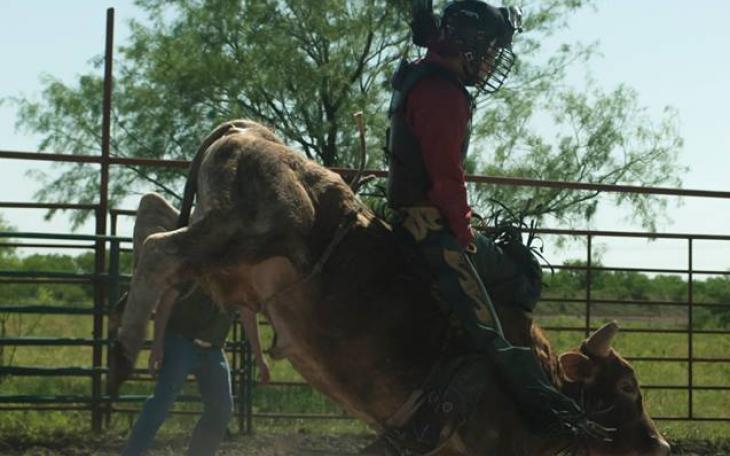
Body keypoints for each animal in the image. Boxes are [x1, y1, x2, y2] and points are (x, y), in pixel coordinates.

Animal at [109, 119, 670, 455]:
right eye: (627, 387)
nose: (661, 445)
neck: (548, 383)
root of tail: (249, 131)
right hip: (246, 229)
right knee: (159, 248)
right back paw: (123, 349)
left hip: (219, 244)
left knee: (150, 216)